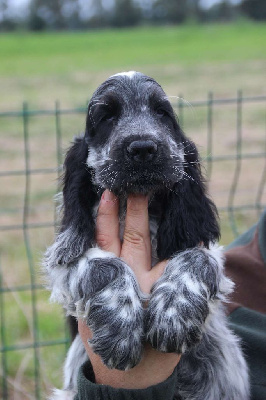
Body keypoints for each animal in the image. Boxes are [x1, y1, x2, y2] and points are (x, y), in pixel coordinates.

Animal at [43, 72, 249, 400]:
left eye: (162, 113)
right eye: (106, 117)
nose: (142, 147)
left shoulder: (207, 250)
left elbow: (196, 257)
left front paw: (174, 314)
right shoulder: (64, 262)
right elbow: (103, 264)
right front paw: (120, 327)